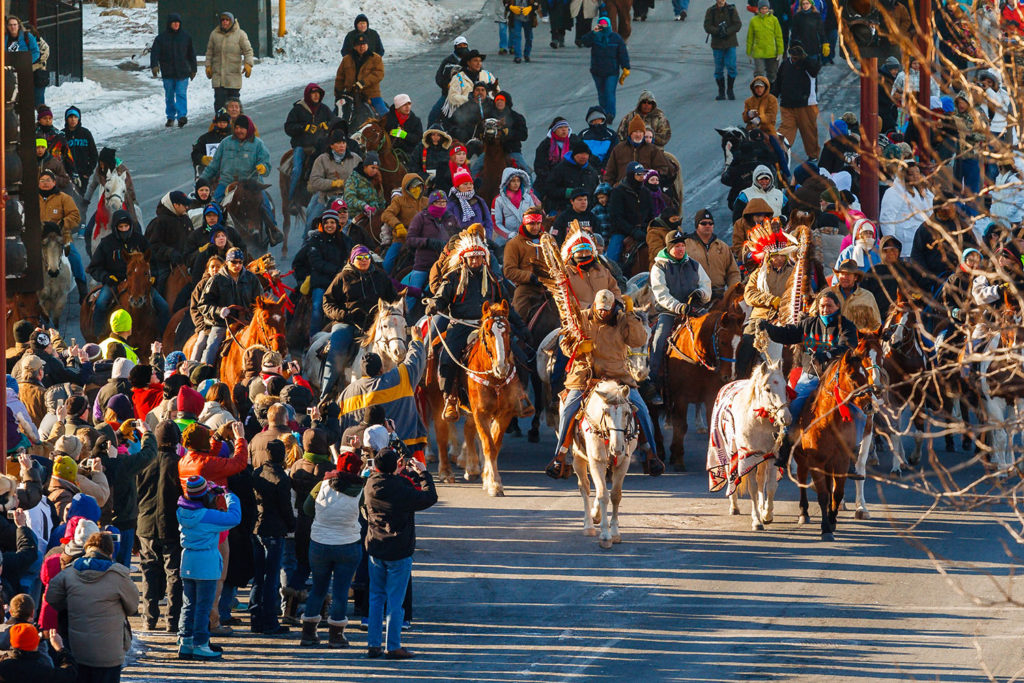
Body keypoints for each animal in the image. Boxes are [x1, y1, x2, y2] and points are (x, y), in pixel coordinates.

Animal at [573, 378, 634, 548]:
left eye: (626, 412)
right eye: (606, 412)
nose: (617, 448)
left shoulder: (623, 463)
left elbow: (615, 495)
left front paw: (615, 533)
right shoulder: (596, 462)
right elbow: (603, 495)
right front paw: (605, 536)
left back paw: (596, 514)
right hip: (578, 458)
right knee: (585, 488)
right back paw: (588, 525)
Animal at [663, 282, 745, 471]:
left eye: (741, 343)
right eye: (722, 341)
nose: (729, 376)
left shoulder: (710, 396)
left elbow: (711, 424)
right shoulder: (680, 397)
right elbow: (681, 425)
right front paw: (679, 459)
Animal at [712, 362, 790, 528]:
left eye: (785, 386)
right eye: (768, 389)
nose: (785, 417)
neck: (758, 421)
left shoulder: (770, 455)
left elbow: (770, 485)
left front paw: (767, 514)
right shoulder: (747, 457)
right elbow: (752, 488)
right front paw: (757, 520)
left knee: (762, 480)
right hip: (729, 452)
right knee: (731, 475)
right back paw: (734, 506)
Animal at [794, 335, 884, 540]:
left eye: (865, 374)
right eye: (851, 376)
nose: (870, 405)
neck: (827, 421)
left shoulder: (841, 459)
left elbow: (838, 492)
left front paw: (832, 519)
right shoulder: (816, 461)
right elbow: (823, 494)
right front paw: (826, 528)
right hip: (802, 458)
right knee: (802, 479)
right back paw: (803, 512)